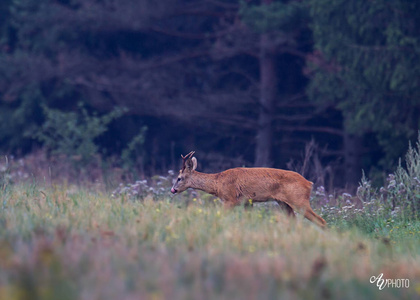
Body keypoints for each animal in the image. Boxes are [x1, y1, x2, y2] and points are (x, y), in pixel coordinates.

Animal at [169, 151, 326, 229]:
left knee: (320, 221)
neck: (218, 183)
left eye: (179, 178)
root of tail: (309, 183)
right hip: (284, 203)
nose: (172, 190)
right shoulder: (247, 202)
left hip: (299, 200)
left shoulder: (230, 199)